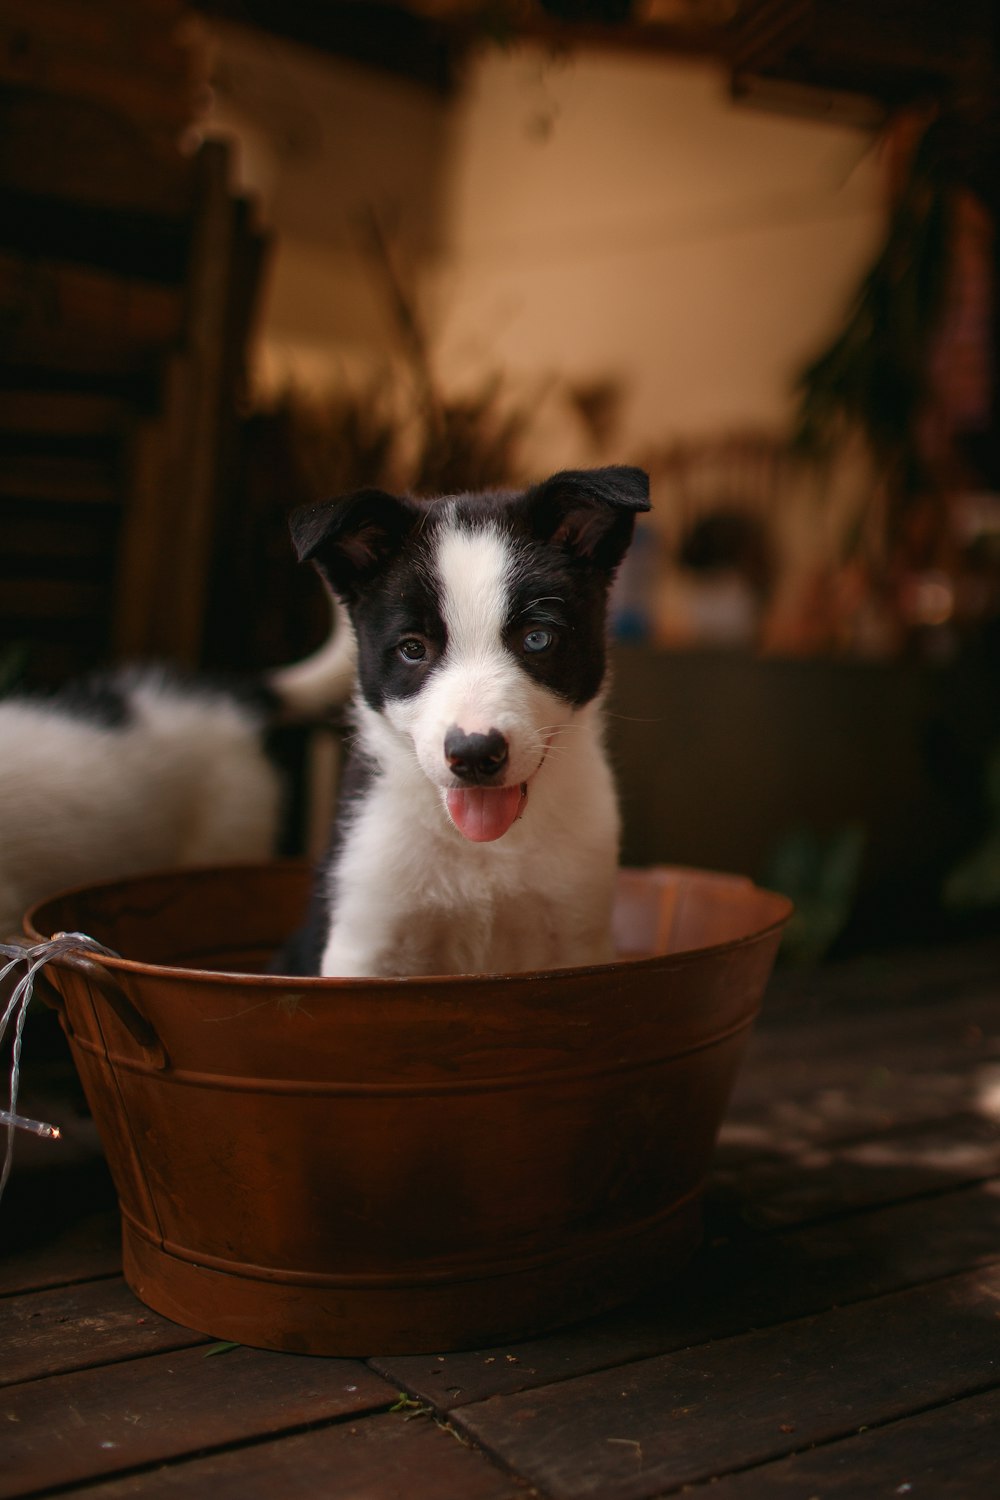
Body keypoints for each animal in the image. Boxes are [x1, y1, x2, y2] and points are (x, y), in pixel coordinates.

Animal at [281, 462, 653, 978]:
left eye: (537, 639)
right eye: (412, 648)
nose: (475, 755)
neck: (485, 848)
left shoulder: (579, 935)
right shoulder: (365, 942)